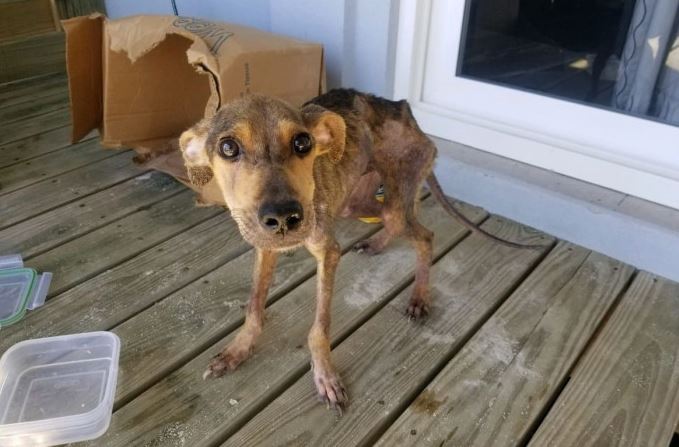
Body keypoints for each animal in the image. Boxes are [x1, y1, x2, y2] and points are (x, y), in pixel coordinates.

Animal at [181, 87, 540, 412]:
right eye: (228, 147)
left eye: (303, 143)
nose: (284, 217)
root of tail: (405, 111)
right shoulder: (264, 247)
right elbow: (254, 307)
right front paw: (237, 352)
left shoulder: (328, 252)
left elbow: (319, 329)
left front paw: (325, 377)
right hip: (357, 200)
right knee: (393, 224)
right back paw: (376, 246)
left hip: (395, 193)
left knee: (423, 235)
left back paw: (419, 297)